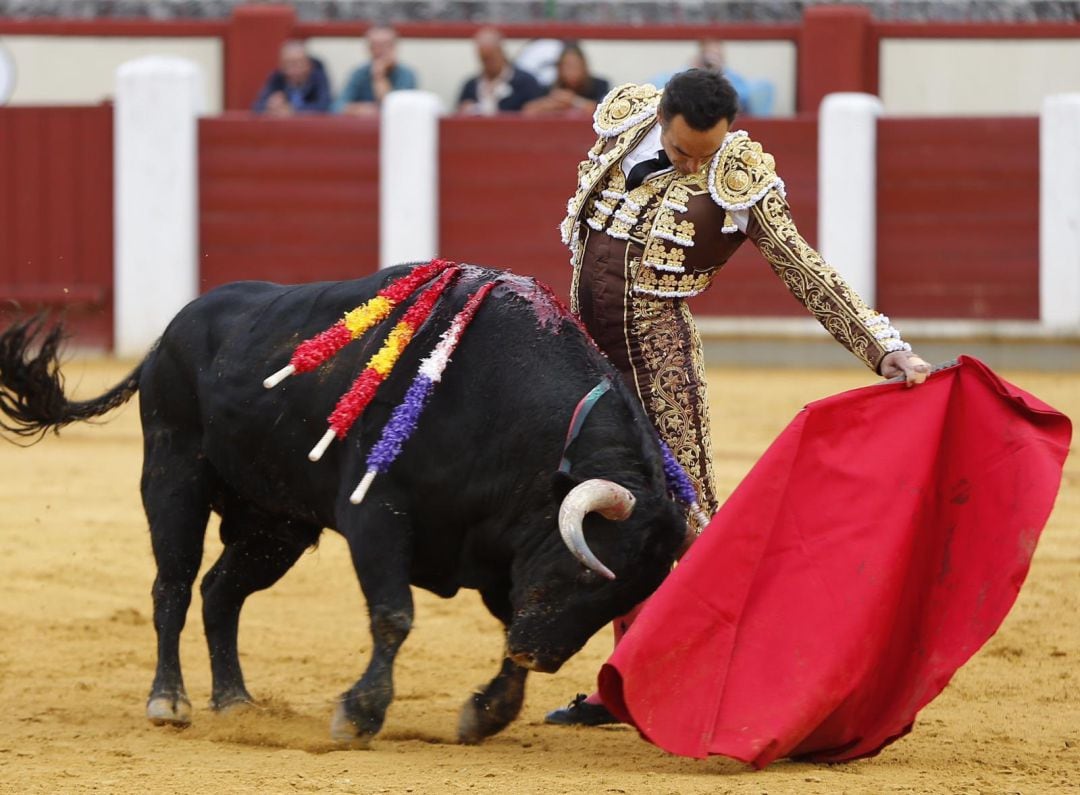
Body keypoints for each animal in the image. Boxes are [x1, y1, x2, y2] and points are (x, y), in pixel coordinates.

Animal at [0, 265, 682, 743]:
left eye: (622, 601)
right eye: (586, 573)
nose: (539, 653)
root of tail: (165, 337)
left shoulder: (501, 550)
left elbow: (501, 626)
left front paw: (485, 714)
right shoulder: (377, 517)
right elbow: (394, 615)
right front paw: (359, 715)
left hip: (277, 525)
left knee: (220, 592)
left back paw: (236, 701)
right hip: (173, 476)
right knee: (173, 584)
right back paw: (169, 701)